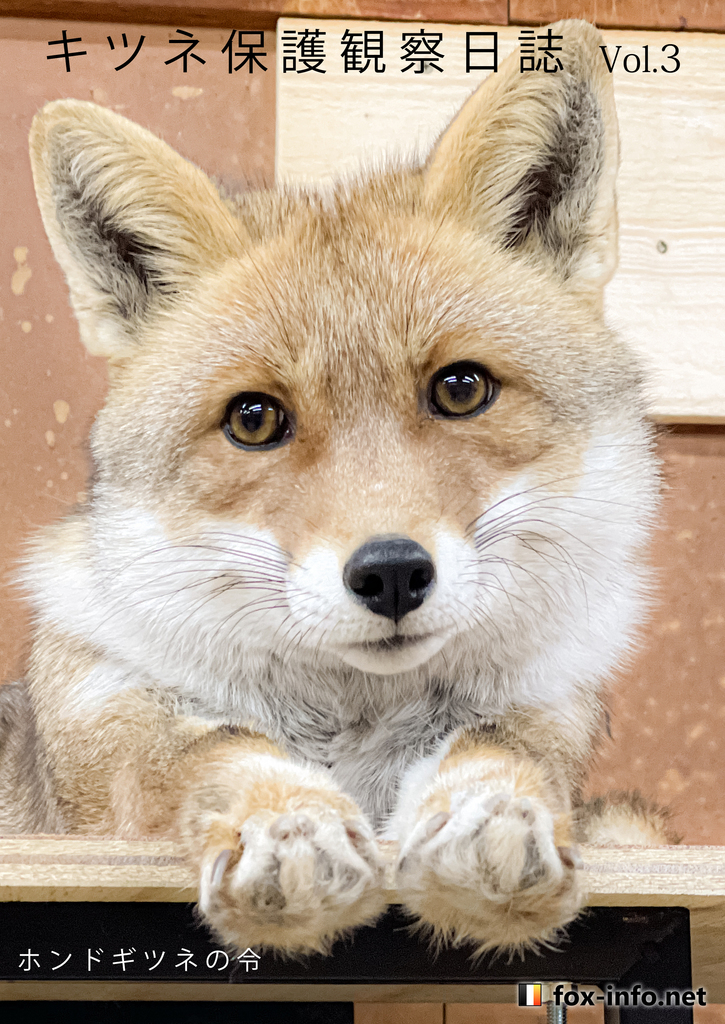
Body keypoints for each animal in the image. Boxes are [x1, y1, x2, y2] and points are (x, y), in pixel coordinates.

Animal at [0, 19, 677, 957]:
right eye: (254, 419)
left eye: (460, 389)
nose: (390, 573)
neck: (354, 730)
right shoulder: (107, 734)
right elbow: (222, 753)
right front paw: (286, 825)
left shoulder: (546, 709)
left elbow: (497, 753)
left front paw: (491, 818)